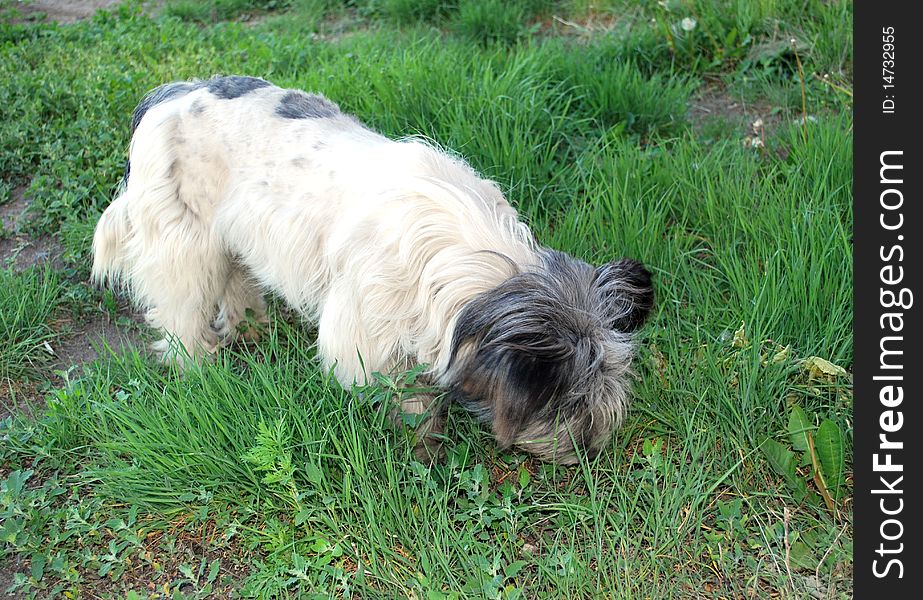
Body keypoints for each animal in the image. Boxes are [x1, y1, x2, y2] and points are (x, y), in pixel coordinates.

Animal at [92, 76, 656, 464]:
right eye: (567, 400)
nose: (589, 449)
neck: (468, 266)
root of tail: (170, 93)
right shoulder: (367, 333)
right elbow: (408, 398)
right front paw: (424, 448)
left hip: (236, 236)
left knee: (237, 283)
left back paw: (253, 330)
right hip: (184, 243)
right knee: (180, 314)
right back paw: (198, 368)